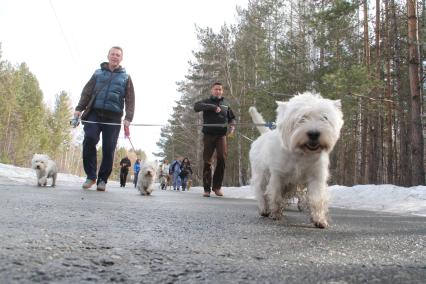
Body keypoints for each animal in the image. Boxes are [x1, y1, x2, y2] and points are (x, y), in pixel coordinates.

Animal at [250, 93, 342, 229]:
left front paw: (319, 220)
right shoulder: (278, 174)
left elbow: (316, 198)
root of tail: (263, 135)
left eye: (324, 117)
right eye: (301, 118)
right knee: (260, 190)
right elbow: (275, 194)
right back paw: (264, 209)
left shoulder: (316, 175)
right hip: (260, 173)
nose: (314, 133)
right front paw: (276, 214)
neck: (302, 154)